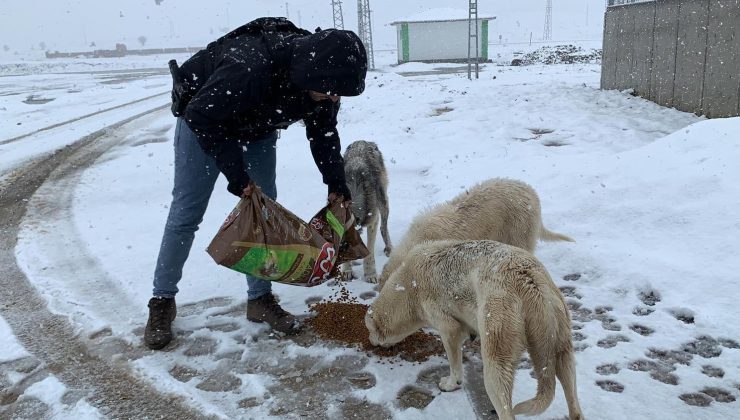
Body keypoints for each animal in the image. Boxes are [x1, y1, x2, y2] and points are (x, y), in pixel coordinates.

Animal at [368, 240, 580, 420]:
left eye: (370, 331)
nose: (371, 342)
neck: (408, 284)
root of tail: (533, 286)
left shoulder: (435, 306)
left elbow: (452, 339)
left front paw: (449, 383)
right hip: (559, 317)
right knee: (567, 373)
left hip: (500, 314)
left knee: (498, 378)